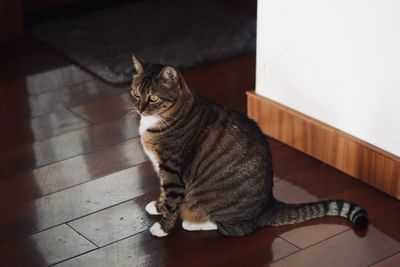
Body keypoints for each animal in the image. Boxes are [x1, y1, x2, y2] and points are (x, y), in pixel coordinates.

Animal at [129, 55, 368, 239]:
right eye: (135, 94)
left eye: (153, 97)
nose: (139, 109)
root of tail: (268, 204)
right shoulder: (162, 170)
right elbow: (162, 193)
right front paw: (157, 207)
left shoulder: (172, 171)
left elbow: (170, 202)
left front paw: (162, 228)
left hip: (213, 203)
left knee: (240, 228)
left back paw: (193, 223)